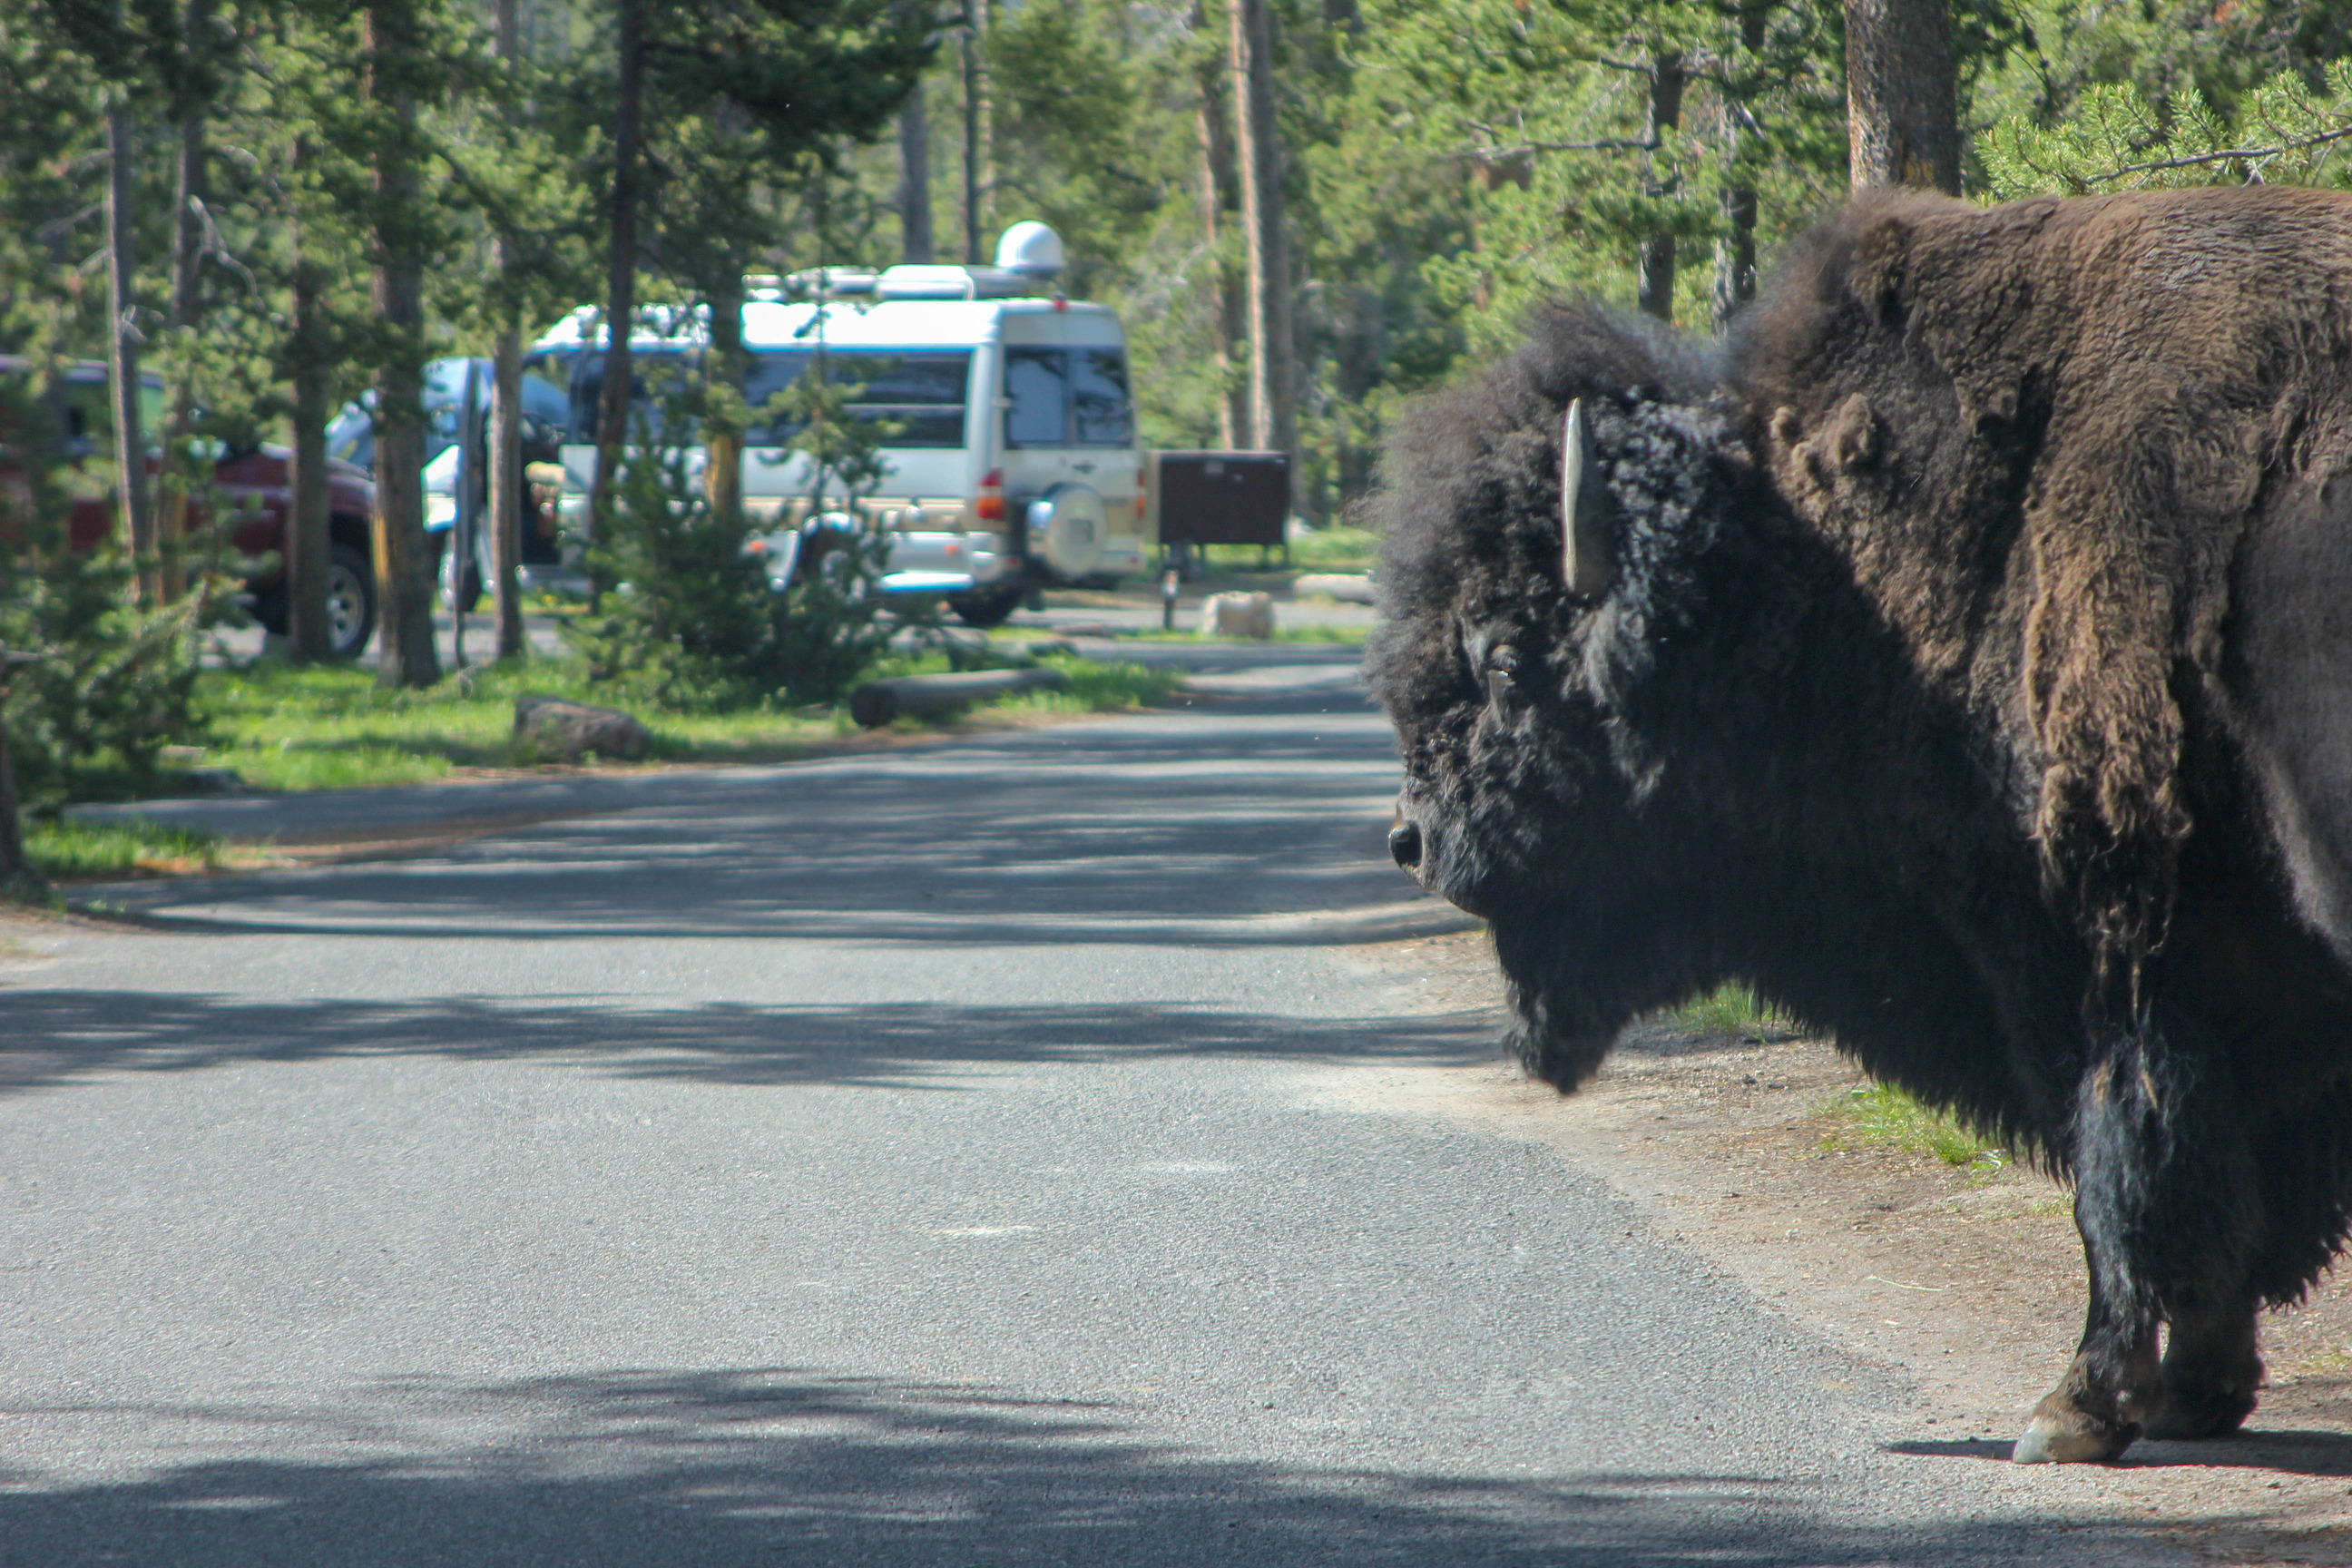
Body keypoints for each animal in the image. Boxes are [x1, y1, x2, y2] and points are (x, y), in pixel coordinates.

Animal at [1365, 184, 2352, 1465]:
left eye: (1496, 655)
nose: (1410, 838)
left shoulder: (2091, 965)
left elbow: (2123, 1176)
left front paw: (2073, 1410)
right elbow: (2222, 1191)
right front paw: (2195, 1394)